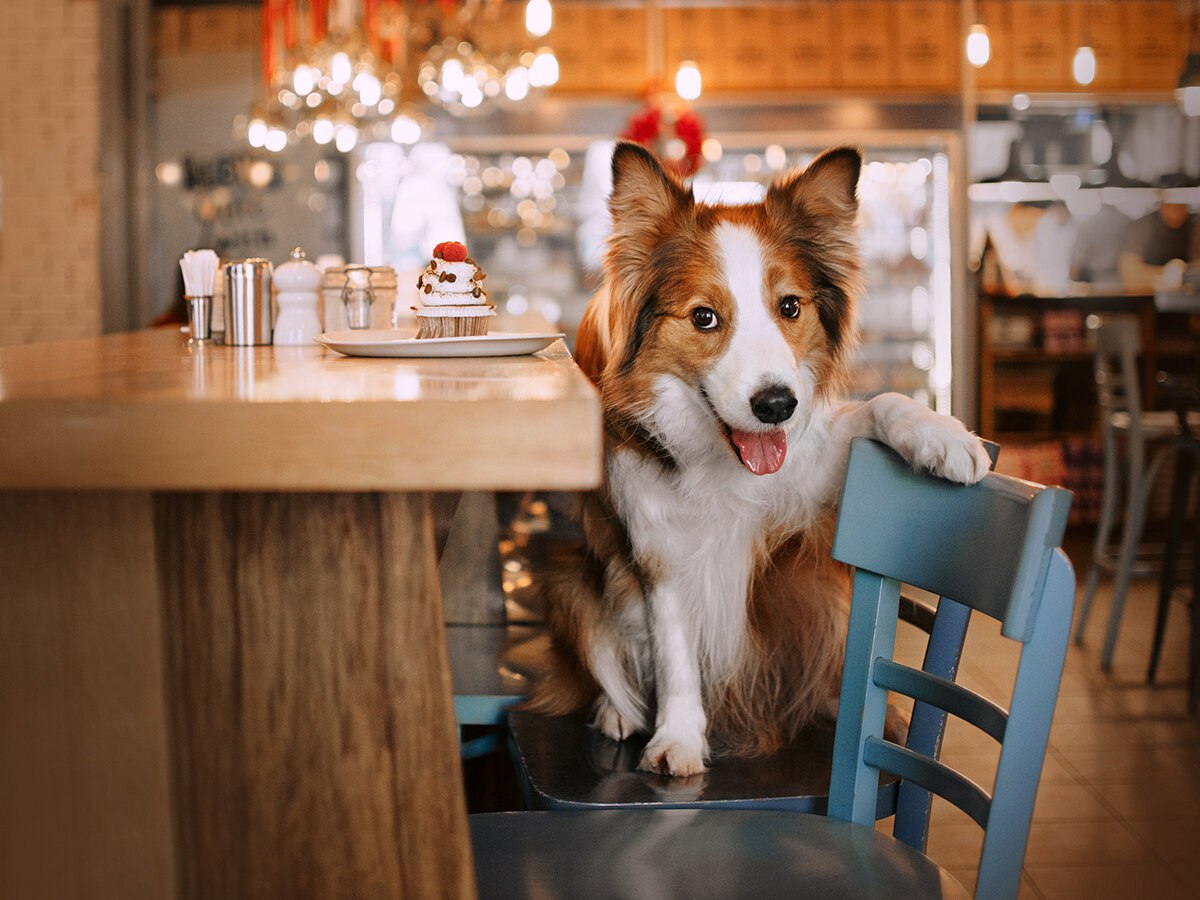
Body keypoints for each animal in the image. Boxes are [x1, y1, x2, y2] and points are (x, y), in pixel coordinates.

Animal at [528, 139, 993, 777]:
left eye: (789, 307)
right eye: (704, 316)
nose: (776, 405)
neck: (722, 460)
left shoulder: (803, 482)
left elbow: (878, 406)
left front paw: (942, 436)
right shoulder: (659, 548)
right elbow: (674, 652)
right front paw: (677, 738)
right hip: (566, 580)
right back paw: (616, 711)